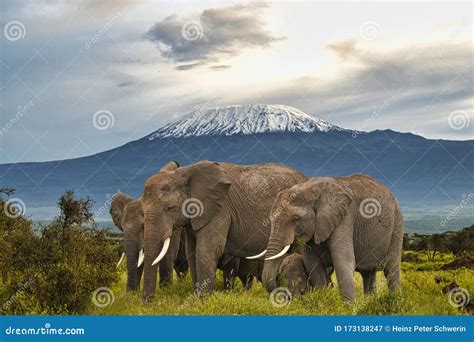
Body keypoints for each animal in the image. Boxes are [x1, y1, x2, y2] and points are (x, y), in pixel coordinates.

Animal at [141, 160, 306, 300]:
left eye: (170, 208)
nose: (148, 301)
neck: (186, 173)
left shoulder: (220, 211)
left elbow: (207, 250)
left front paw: (203, 300)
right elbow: (192, 252)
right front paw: (197, 299)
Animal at [260, 175, 404, 300]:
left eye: (295, 219)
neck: (310, 189)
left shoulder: (345, 219)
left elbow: (343, 261)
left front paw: (348, 308)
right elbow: (313, 264)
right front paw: (322, 299)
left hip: (397, 224)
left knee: (391, 268)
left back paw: (395, 301)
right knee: (368, 273)